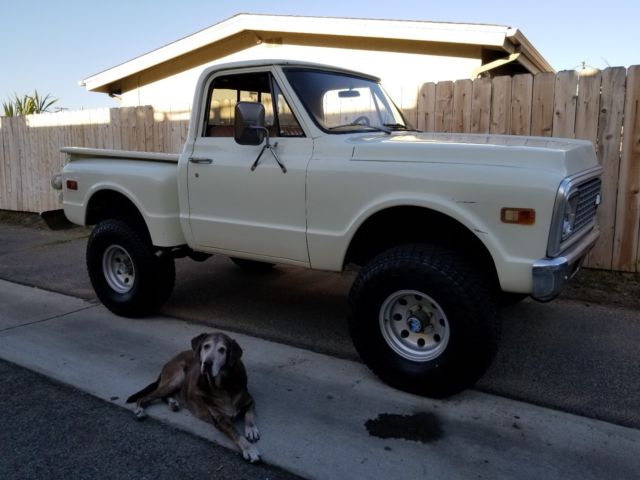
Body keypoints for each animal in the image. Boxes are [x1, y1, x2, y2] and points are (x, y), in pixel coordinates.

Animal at [125, 332, 260, 464]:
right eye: (206, 346)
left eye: (222, 350)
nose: (207, 364)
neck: (223, 385)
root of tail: (171, 359)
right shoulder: (220, 419)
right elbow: (236, 434)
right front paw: (250, 449)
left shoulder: (250, 400)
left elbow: (249, 414)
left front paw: (251, 430)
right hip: (177, 377)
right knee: (146, 397)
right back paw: (140, 409)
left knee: (165, 396)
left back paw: (173, 402)